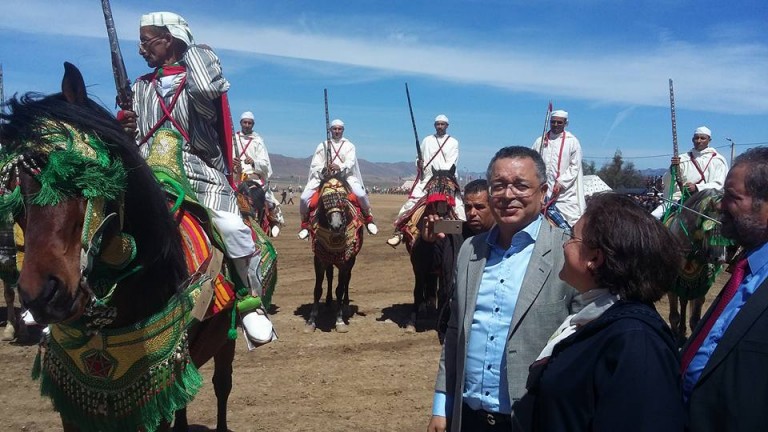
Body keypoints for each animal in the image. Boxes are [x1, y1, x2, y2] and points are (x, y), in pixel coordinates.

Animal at [0, 63, 260, 432]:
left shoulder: (151, 392)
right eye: (14, 184)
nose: (42, 294)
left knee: (222, 385)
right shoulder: (76, 397)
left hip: (225, 341)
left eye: (86, 173)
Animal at [304, 172, 364, 333]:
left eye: (343, 197)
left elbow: (340, 289)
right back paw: (328, 301)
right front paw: (311, 321)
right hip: (329, 259)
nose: (336, 226)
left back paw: (345, 305)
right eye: (324, 199)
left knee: (347, 280)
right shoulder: (319, 259)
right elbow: (317, 289)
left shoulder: (345, 261)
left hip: (350, 260)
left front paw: (339, 321)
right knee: (330, 276)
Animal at [397, 167, 462, 339]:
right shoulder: (419, 267)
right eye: (431, 187)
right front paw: (411, 323)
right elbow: (418, 292)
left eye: (452, 188)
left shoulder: (446, 265)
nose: (441, 208)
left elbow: (444, 291)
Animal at [663, 189, 732, 346]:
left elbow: (695, 320)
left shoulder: (701, 287)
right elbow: (674, 316)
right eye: (709, 229)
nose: (720, 258)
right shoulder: (672, 286)